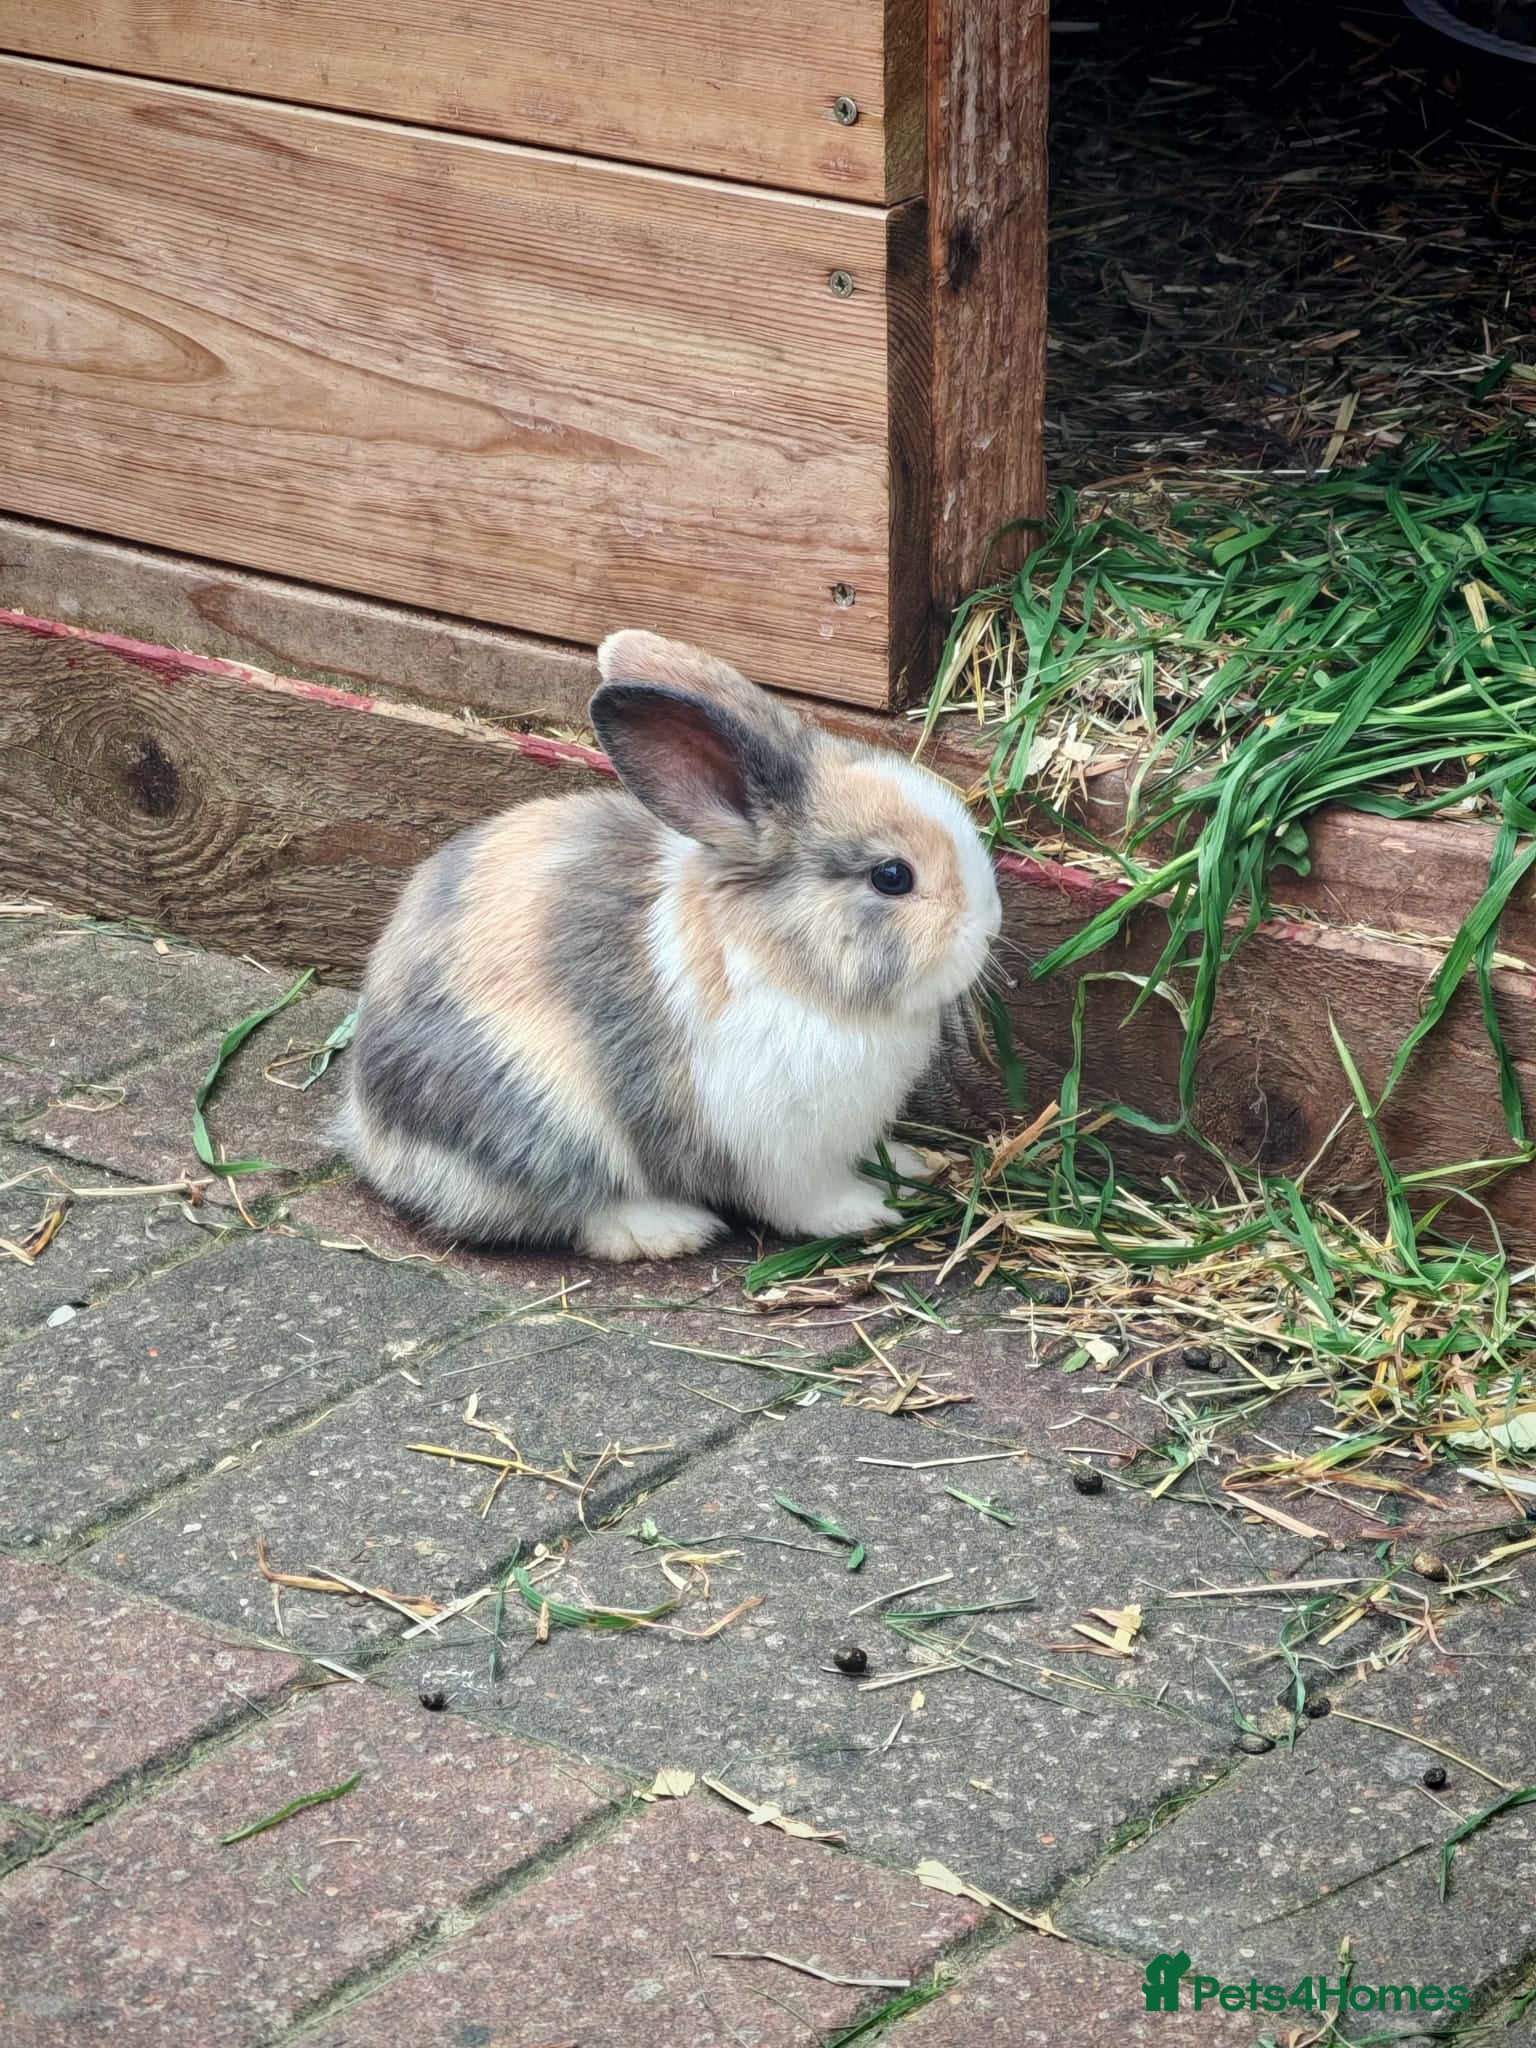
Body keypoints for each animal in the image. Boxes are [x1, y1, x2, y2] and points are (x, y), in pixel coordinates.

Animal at [340, 630, 1002, 1259]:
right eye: (892, 877)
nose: (990, 922)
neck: (788, 965)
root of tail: (370, 1132)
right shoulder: (775, 1148)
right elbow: (804, 1199)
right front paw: (867, 1212)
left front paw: (907, 1168)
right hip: (542, 1126)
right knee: (559, 1210)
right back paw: (667, 1230)